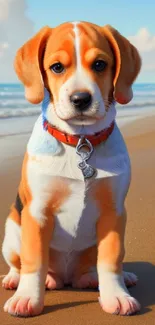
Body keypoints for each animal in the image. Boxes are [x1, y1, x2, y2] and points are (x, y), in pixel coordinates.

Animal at [1, 21, 141, 316]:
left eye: (100, 64)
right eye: (56, 67)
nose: (80, 99)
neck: (80, 141)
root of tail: (67, 278)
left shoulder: (114, 213)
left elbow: (111, 259)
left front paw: (116, 295)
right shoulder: (37, 212)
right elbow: (33, 261)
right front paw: (27, 298)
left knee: (101, 265)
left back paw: (105, 277)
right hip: (11, 231)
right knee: (19, 263)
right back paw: (16, 280)